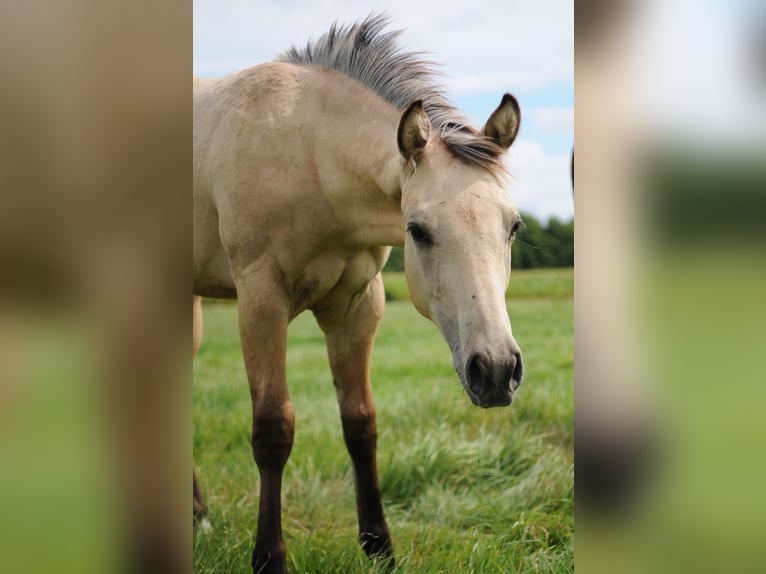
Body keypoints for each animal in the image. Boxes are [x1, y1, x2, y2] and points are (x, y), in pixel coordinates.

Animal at [193, 15, 524, 573]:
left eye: (514, 226)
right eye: (417, 230)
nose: (497, 370)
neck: (307, 151)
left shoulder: (357, 307)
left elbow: (360, 423)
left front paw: (379, 547)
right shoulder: (261, 302)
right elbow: (272, 429)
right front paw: (269, 558)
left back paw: (197, 516)